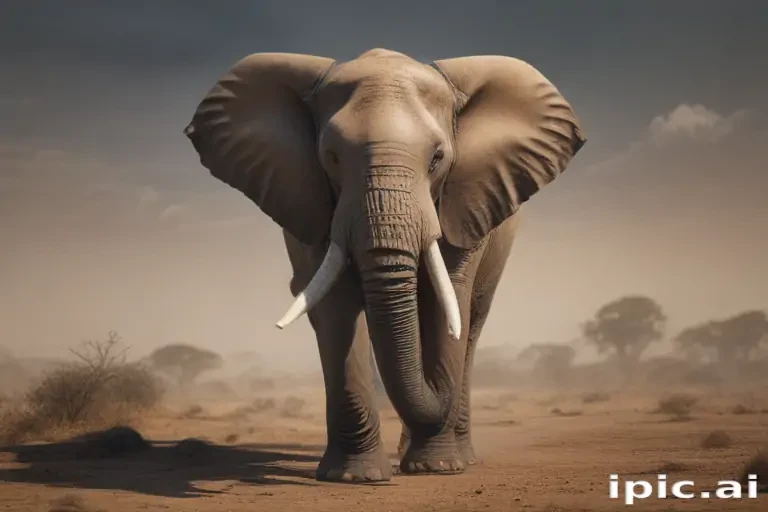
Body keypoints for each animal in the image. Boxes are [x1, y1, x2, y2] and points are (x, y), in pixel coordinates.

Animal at [183, 48, 586, 482]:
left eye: (437, 159)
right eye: (331, 157)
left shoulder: (465, 200)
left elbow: (446, 302)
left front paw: (437, 468)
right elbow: (338, 309)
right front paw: (354, 478)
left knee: (472, 322)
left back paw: (455, 456)